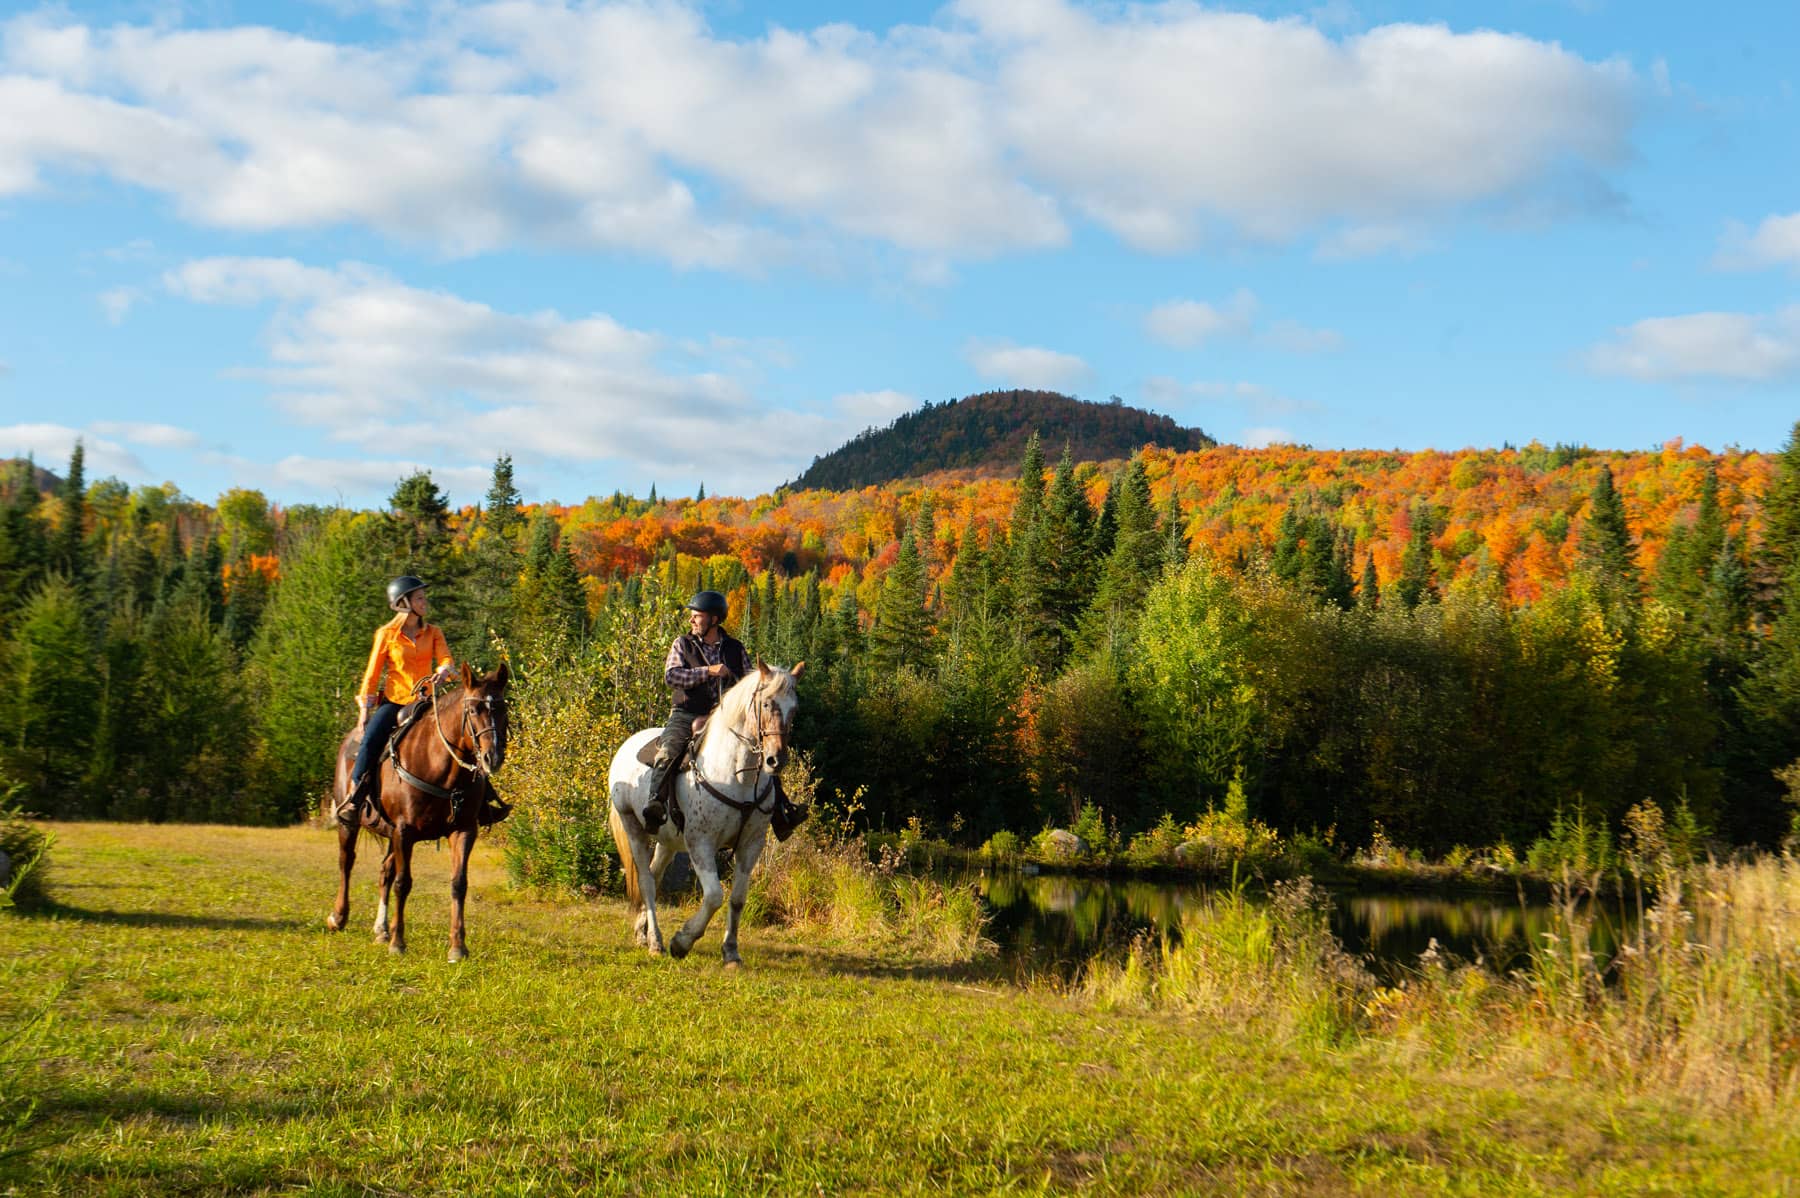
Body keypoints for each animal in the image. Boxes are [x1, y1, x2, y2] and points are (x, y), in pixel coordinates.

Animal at [325, 662, 510, 961]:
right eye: (473, 710)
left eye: (503, 708)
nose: (492, 757)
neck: (440, 766)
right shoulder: (405, 831)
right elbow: (403, 883)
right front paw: (398, 943)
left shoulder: (463, 830)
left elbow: (459, 883)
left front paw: (457, 946)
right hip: (350, 824)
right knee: (347, 862)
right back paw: (338, 917)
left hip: (391, 834)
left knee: (384, 872)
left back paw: (381, 929)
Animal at [607, 660, 804, 966]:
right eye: (767, 704)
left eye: (793, 709)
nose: (775, 760)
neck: (737, 775)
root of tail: (627, 746)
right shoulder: (701, 843)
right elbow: (714, 896)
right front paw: (681, 942)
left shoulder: (751, 844)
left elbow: (737, 899)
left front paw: (731, 952)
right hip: (633, 827)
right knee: (646, 882)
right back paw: (656, 941)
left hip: (667, 840)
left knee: (655, 875)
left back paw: (642, 933)